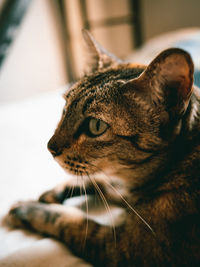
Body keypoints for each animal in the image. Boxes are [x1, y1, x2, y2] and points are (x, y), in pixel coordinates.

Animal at [5, 30, 200, 267]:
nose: (50, 147)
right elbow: (101, 181)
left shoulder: (124, 250)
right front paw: (54, 192)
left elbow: (70, 220)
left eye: (96, 126)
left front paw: (30, 209)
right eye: (64, 109)